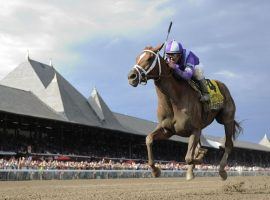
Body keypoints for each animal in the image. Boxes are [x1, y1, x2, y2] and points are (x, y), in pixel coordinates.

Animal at [127, 44, 242, 181]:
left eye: (150, 58)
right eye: (137, 57)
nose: (131, 76)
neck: (175, 99)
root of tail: (222, 85)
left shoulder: (195, 129)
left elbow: (189, 158)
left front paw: (201, 157)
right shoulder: (168, 130)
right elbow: (149, 139)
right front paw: (155, 171)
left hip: (226, 120)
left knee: (228, 145)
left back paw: (222, 171)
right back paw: (191, 172)